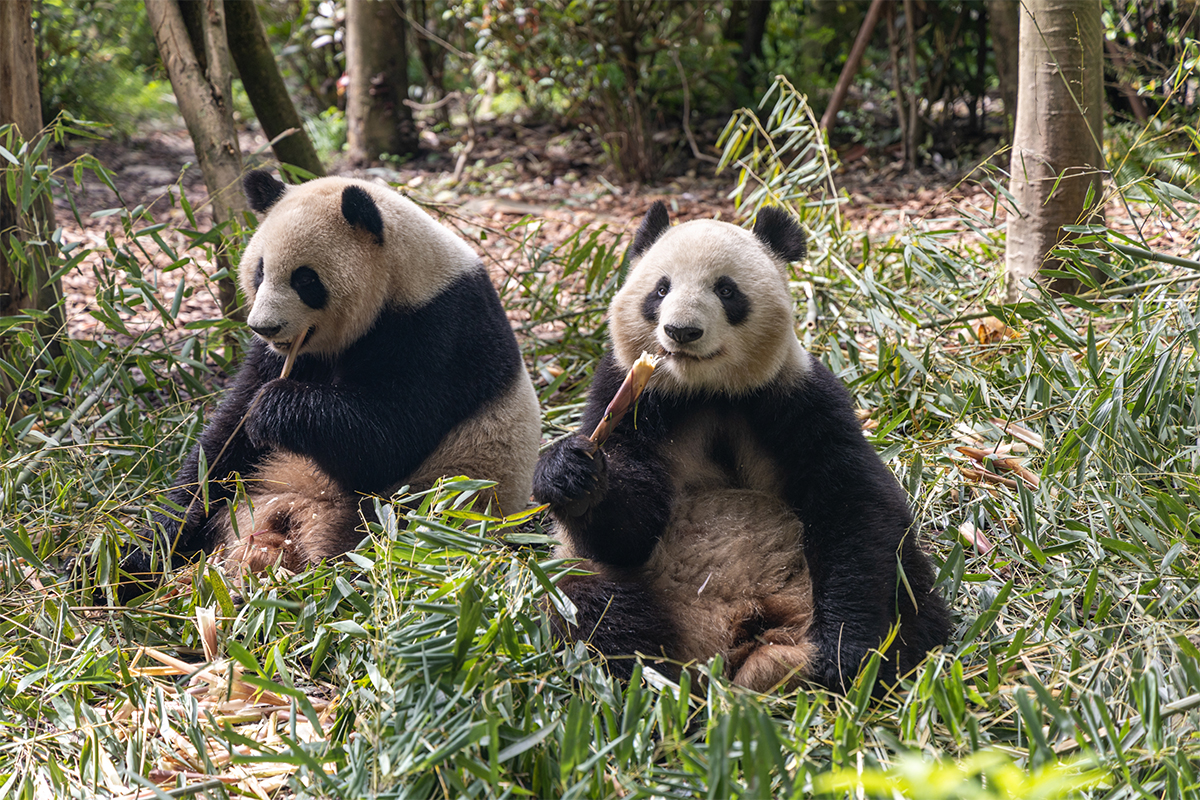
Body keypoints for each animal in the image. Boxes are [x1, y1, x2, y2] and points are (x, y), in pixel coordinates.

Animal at [117, 170, 540, 594]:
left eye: (305, 279)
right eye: (260, 270)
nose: (264, 327)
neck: (402, 276)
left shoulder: (439, 331)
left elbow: (387, 440)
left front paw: (273, 409)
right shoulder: (283, 356)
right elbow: (222, 446)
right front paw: (151, 543)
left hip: (426, 512)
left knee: (389, 550)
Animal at [530, 201, 950, 695]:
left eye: (726, 290)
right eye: (660, 289)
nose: (682, 331)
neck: (707, 391)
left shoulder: (797, 398)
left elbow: (852, 505)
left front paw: (844, 653)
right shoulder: (627, 397)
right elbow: (628, 531)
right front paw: (569, 472)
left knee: (908, 592)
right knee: (591, 602)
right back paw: (659, 681)